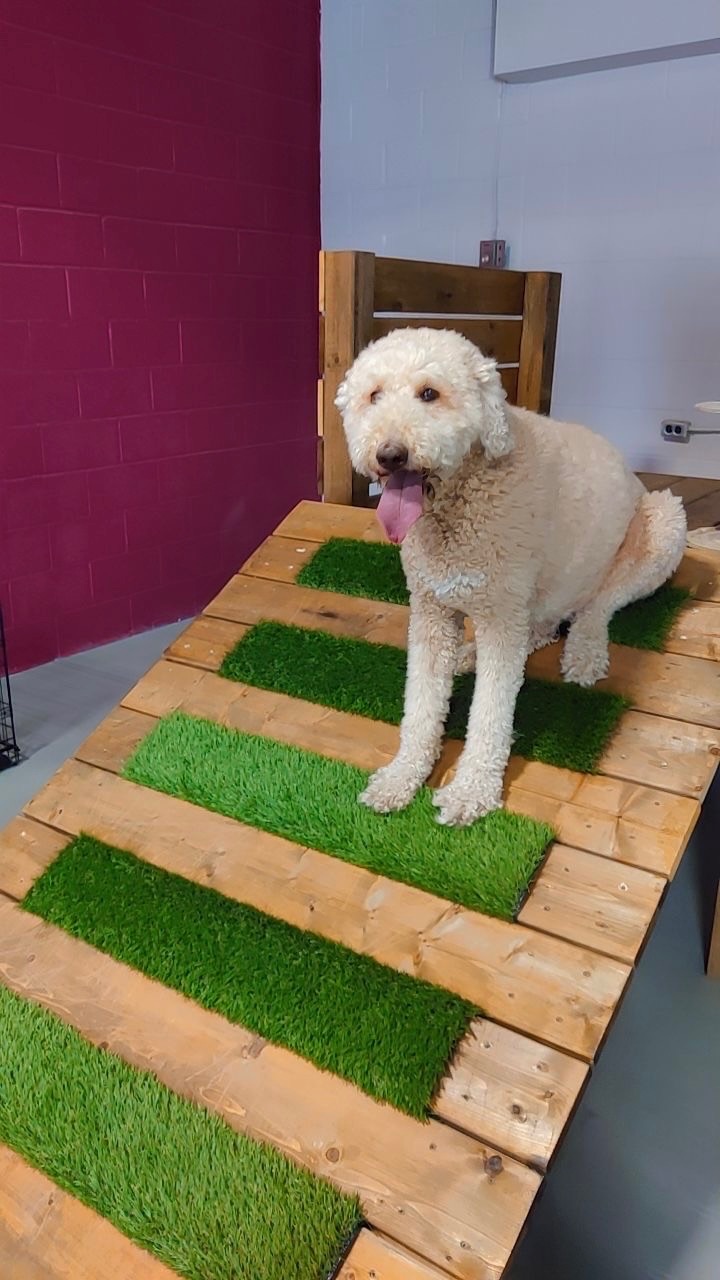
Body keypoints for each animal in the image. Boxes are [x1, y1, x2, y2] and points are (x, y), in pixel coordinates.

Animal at [335, 327, 681, 829]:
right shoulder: (432, 611)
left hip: (662, 522)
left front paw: (471, 791)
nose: (389, 455)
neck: (459, 505)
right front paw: (402, 775)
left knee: (600, 604)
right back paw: (473, 653)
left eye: (429, 393)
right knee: (542, 626)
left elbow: (492, 712)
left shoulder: (501, 617)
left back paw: (585, 651)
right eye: (373, 395)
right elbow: (420, 704)